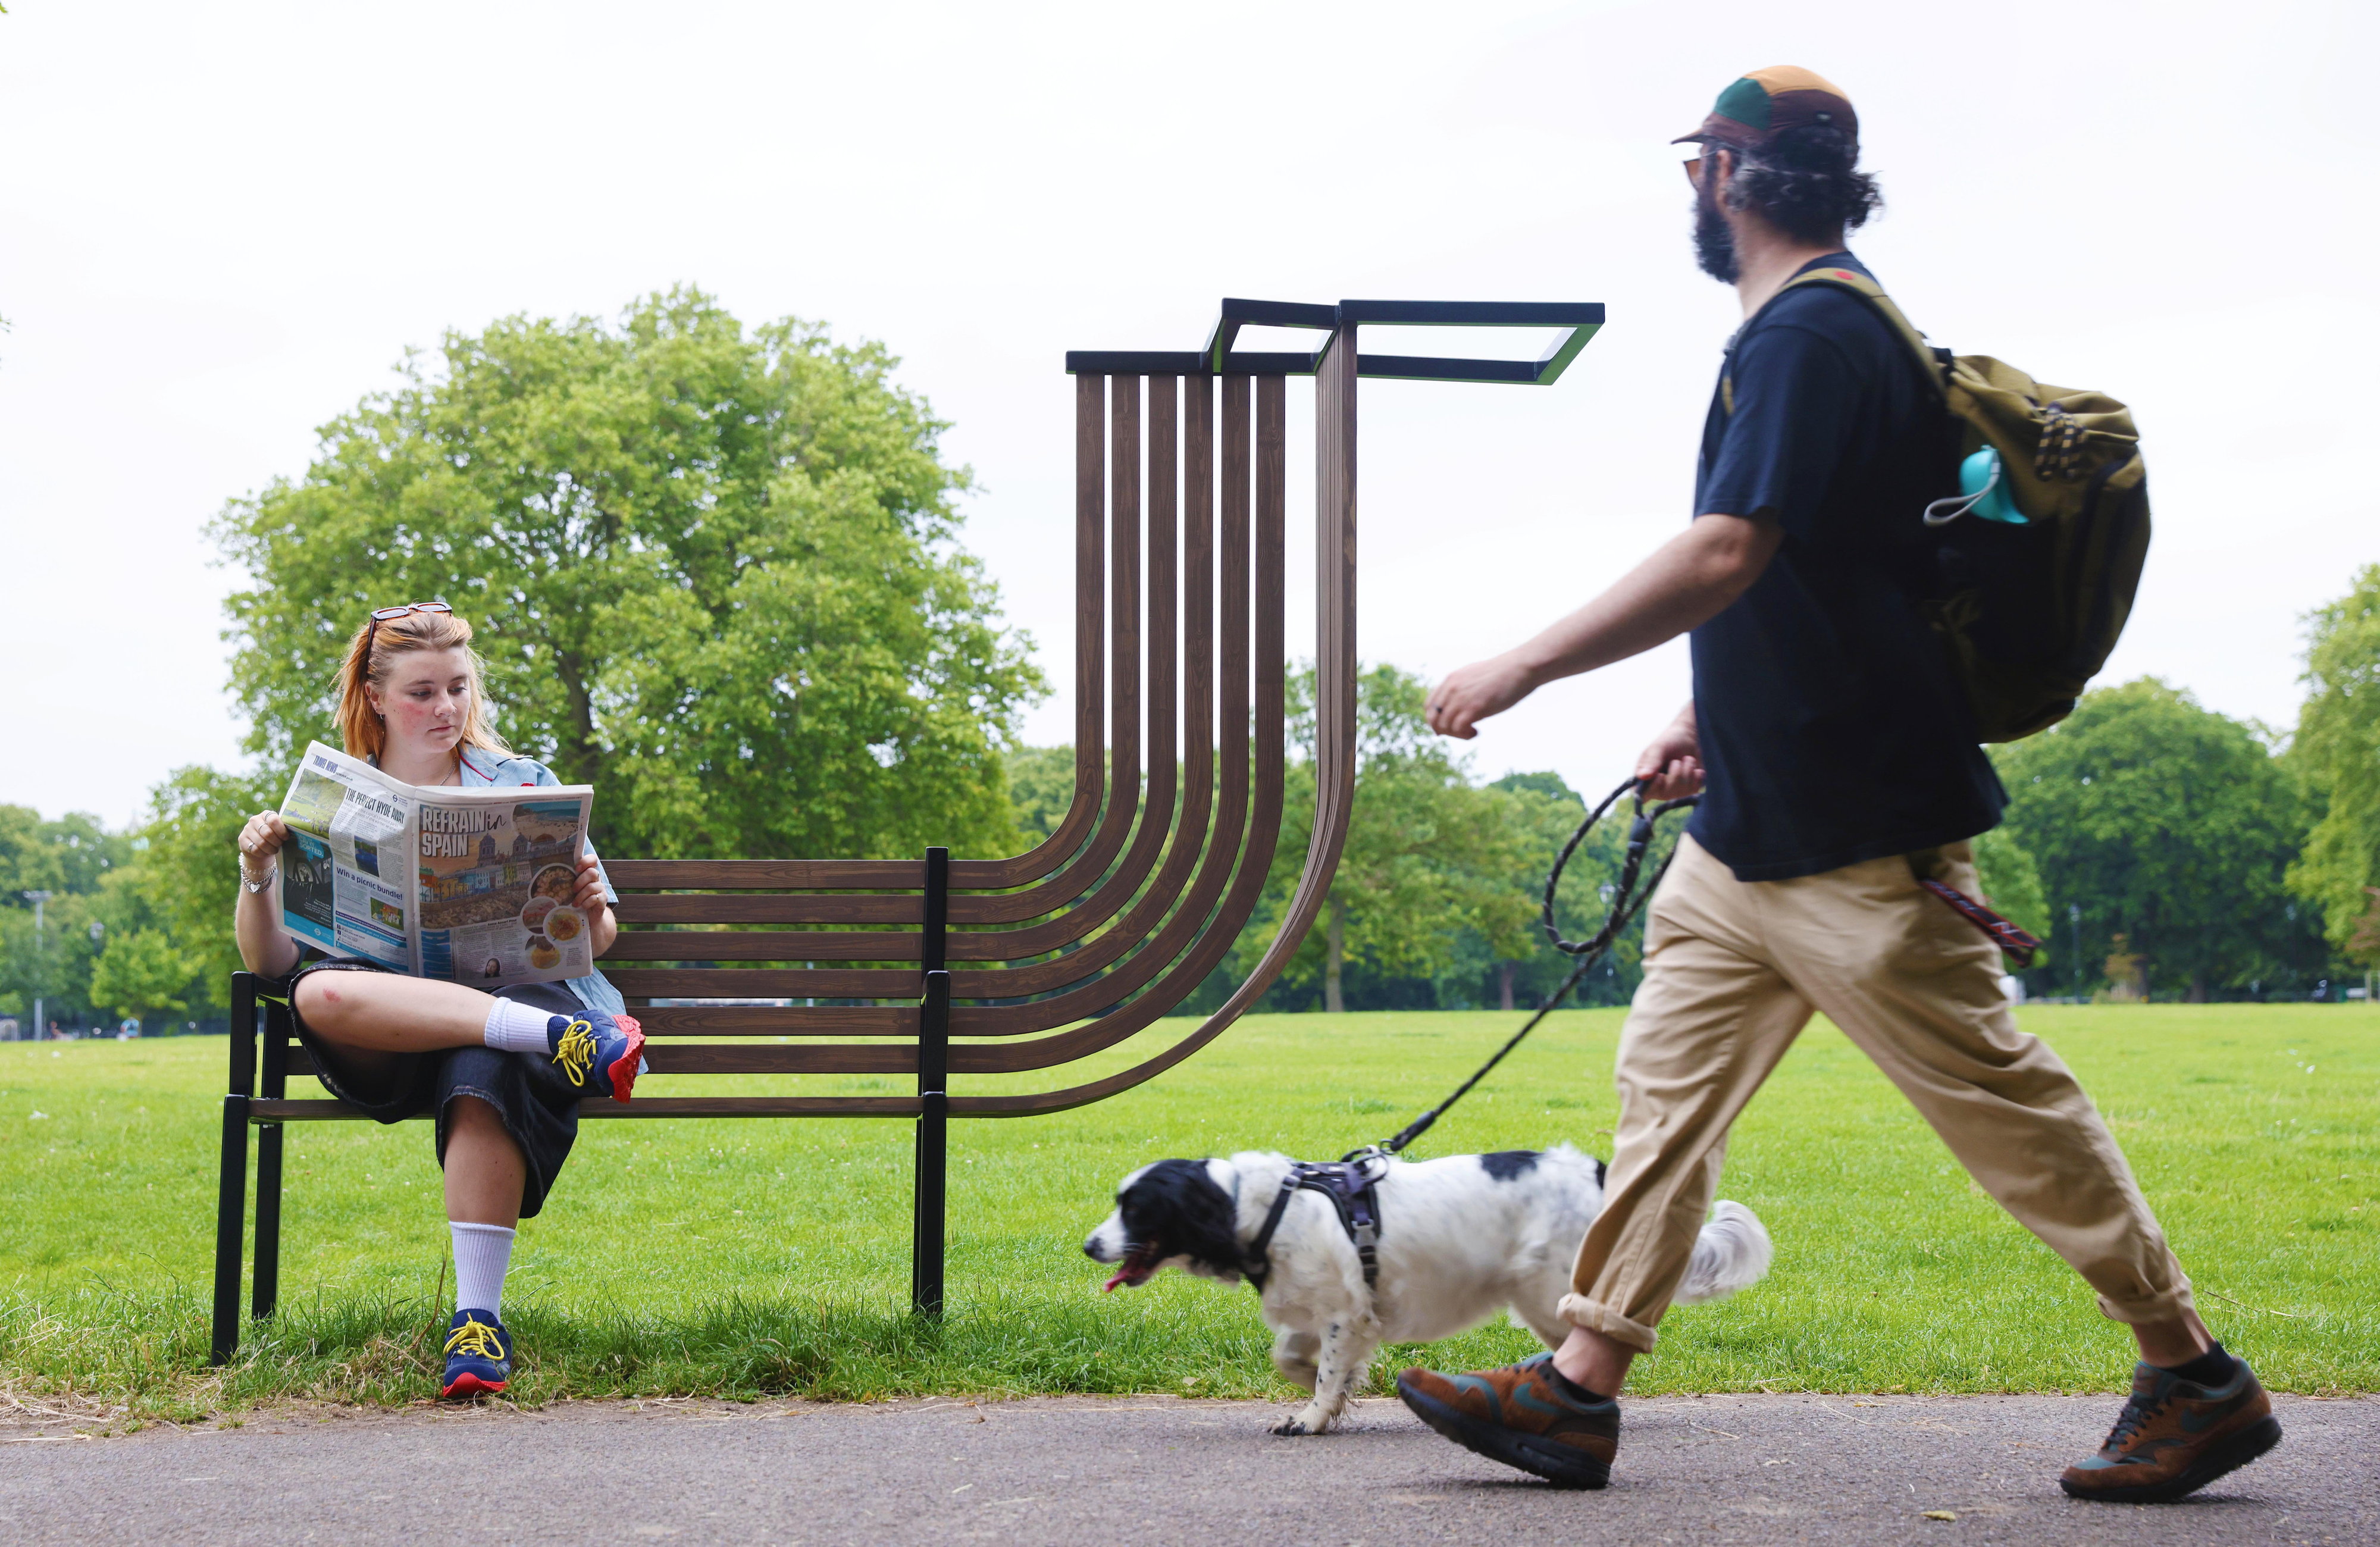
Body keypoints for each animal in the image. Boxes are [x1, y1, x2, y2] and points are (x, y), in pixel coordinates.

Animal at [1081, 1142, 1771, 1438]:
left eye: (1135, 1210)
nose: (1088, 1246)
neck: (1265, 1205)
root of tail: (1594, 1169)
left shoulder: (1346, 1311)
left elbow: (1326, 1370)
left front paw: (1313, 1415)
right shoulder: (1323, 1307)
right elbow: (1295, 1356)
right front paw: (1322, 1395)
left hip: (1547, 1288)